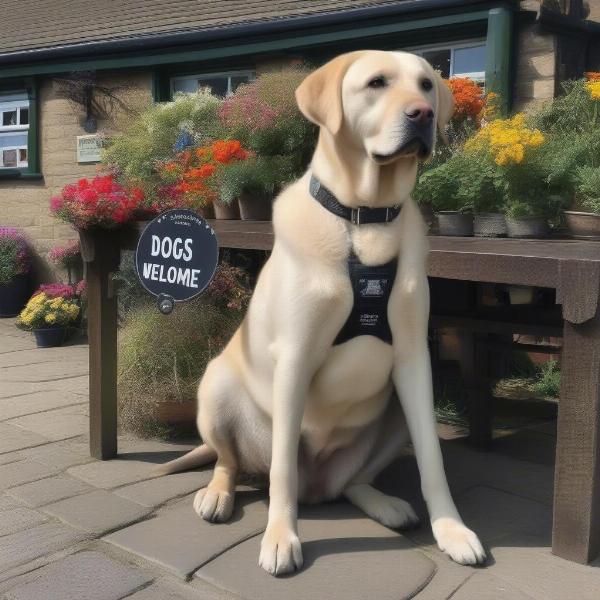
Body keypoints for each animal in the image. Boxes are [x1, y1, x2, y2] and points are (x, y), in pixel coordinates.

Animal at [158, 51, 482, 576]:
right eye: (377, 83)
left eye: (426, 85)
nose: (423, 115)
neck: (364, 218)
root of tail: (319, 486)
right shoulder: (295, 357)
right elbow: (282, 471)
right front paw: (280, 537)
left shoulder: (414, 359)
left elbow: (432, 457)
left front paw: (452, 530)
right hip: (217, 385)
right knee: (234, 462)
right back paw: (218, 494)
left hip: (388, 417)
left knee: (349, 484)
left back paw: (383, 503)